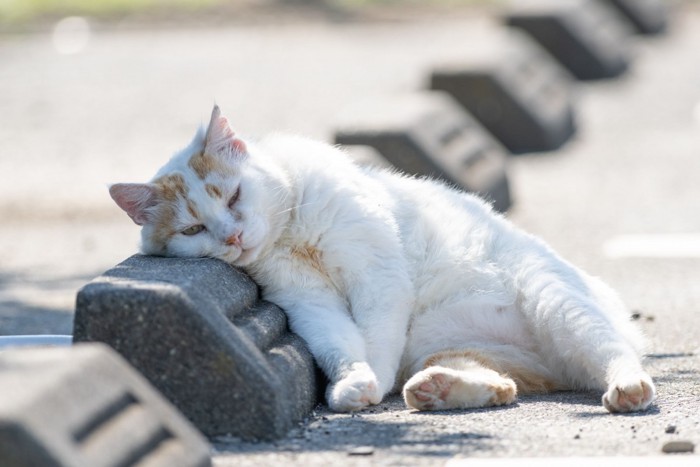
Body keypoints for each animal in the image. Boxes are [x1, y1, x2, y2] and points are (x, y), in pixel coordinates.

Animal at [110, 105, 656, 414]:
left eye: (234, 196)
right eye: (193, 229)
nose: (235, 236)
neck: (291, 234)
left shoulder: (377, 273)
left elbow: (374, 335)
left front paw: (371, 376)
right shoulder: (305, 299)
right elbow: (335, 341)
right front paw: (353, 383)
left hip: (556, 300)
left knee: (611, 352)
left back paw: (627, 386)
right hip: (456, 348)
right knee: (503, 385)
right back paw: (439, 389)